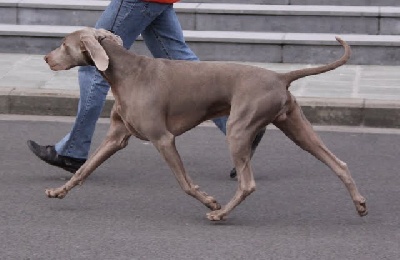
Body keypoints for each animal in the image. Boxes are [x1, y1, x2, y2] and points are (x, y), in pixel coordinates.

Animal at [43, 27, 366, 220]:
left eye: (63, 44)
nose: (46, 58)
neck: (125, 72)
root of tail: (279, 76)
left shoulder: (163, 138)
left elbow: (185, 183)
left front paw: (210, 202)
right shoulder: (116, 137)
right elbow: (84, 168)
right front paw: (59, 191)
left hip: (238, 129)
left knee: (248, 183)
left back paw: (220, 214)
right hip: (296, 127)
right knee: (338, 163)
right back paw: (360, 203)